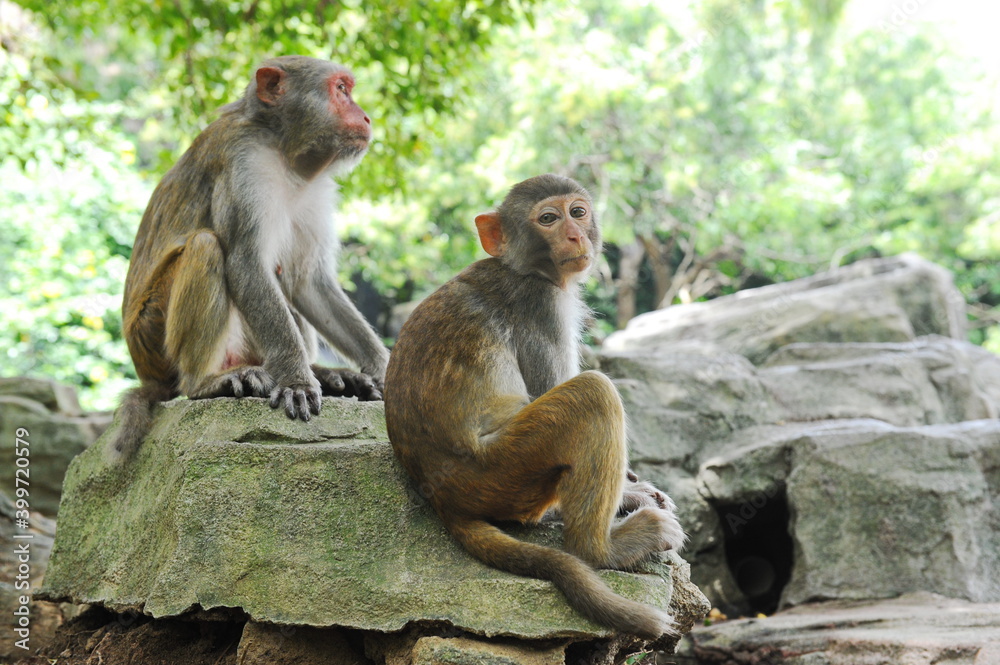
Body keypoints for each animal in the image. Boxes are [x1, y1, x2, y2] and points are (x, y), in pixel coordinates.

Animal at [108, 56, 389, 463]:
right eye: (341, 90)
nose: (366, 117)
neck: (283, 151)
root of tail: (147, 373)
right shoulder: (244, 164)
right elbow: (246, 263)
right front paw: (297, 380)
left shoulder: (314, 191)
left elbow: (307, 281)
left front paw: (385, 370)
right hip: (152, 334)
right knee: (207, 246)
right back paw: (207, 382)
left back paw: (326, 373)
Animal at [384, 174, 686, 640]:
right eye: (548, 219)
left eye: (577, 212)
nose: (576, 234)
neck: (523, 268)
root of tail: (444, 499)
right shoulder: (541, 306)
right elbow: (554, 385)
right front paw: (631, 492)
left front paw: (634, 489)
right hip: (504, 470)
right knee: (593, 394)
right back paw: (603, 548)